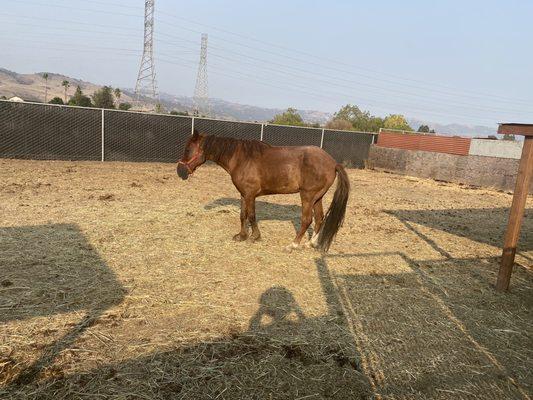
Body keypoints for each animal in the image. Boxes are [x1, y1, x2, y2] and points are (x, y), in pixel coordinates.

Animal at [178, 130, 350, 252]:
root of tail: (333, 163)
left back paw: (293, 245)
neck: (241, 159)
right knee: (319, 219)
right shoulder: (244, 194)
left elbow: (252, 216)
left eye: (188, 149)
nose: (180, 171)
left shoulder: (250, 194)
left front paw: (255, 237)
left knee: (307, 220)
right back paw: (310, 243)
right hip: (317, 198)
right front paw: (241, 236)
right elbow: (243, 215)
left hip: (307, 196)